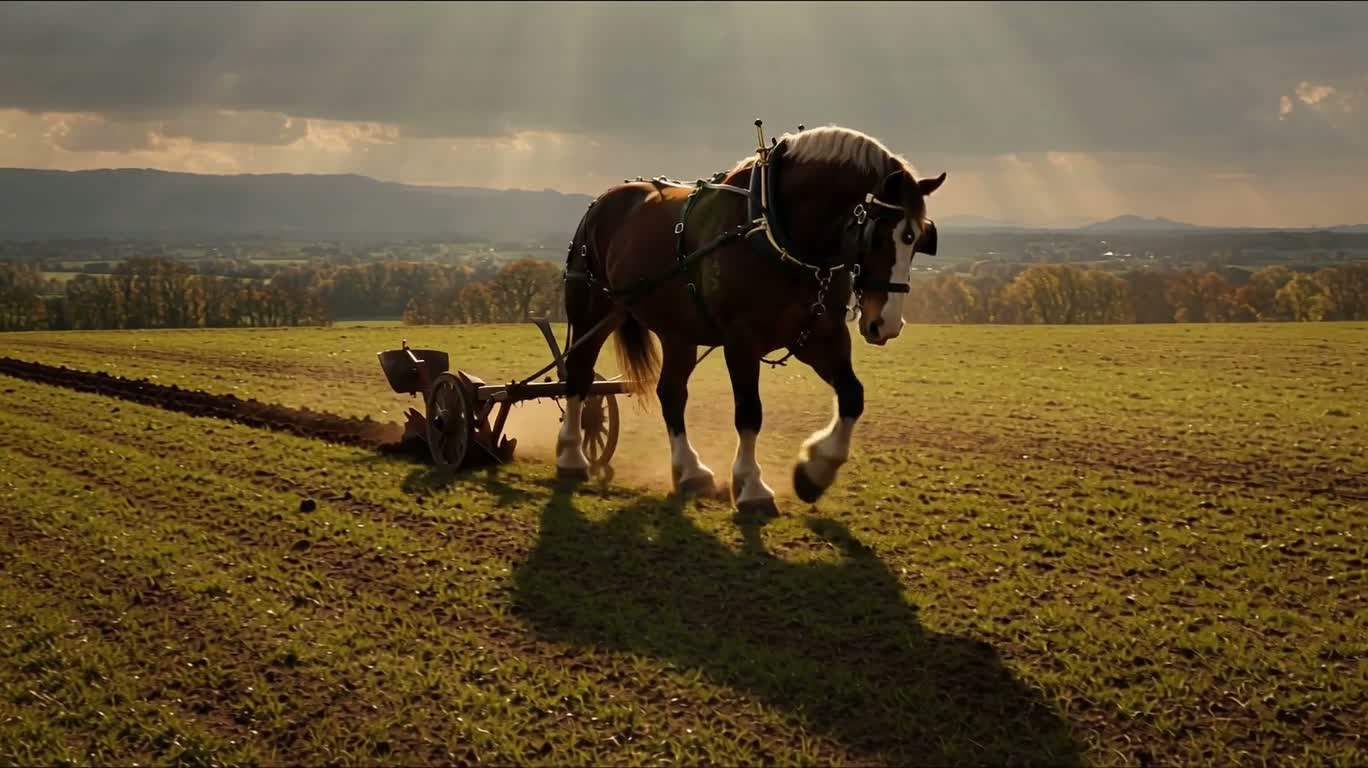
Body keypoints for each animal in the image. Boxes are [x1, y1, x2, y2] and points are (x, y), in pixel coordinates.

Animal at [553, 122, 945, 513]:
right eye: (877, 236)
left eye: (919, 239)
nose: (887, 324)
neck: (776, 230)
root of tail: (601, 202)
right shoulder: (741, 339)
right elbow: (749, 411)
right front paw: (752, 486)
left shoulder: (822, 334)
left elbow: (852, 396)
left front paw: (814, 472)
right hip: (592, 312)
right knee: (579, 375)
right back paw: (572, 456)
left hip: (678, 331)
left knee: (671, 392)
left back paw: (690, 471)